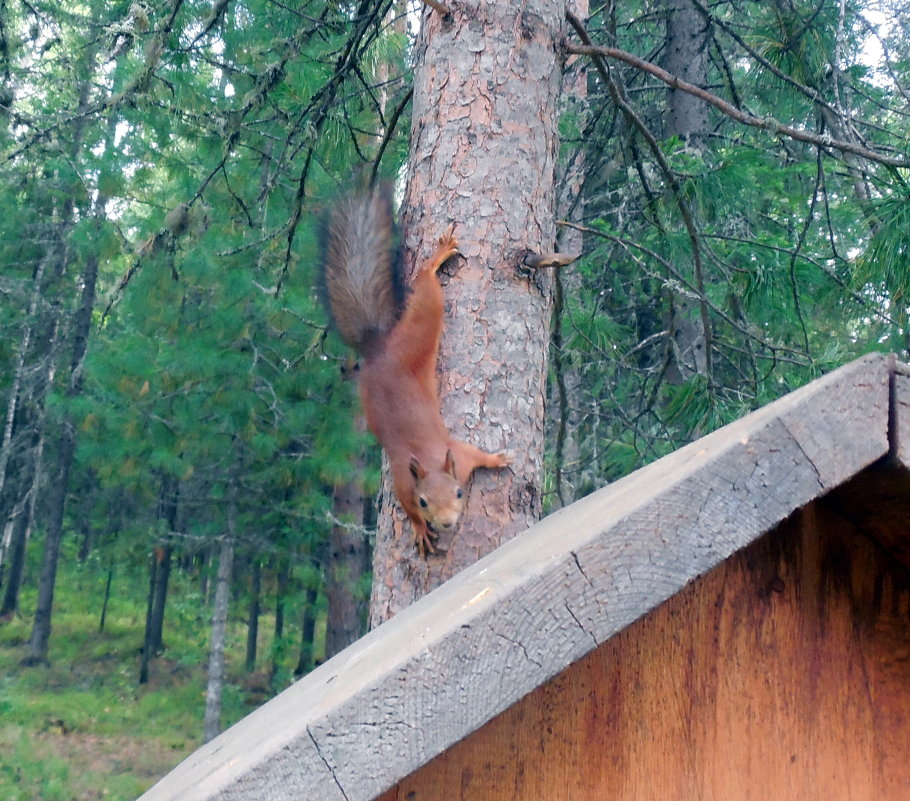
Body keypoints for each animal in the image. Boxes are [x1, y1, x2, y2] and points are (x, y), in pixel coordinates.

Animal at [320, 184, 510, 552]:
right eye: (424, 501)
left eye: (459, 493)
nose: (447, 523)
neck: (432, 461)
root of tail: (378, 348)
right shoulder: (404, 485)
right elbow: (407, 509)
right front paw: (422, 530)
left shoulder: (461, 456)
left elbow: (478, 455)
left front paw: (498, 459)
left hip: (421, 325)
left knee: (425, 284)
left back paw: (437, 256)